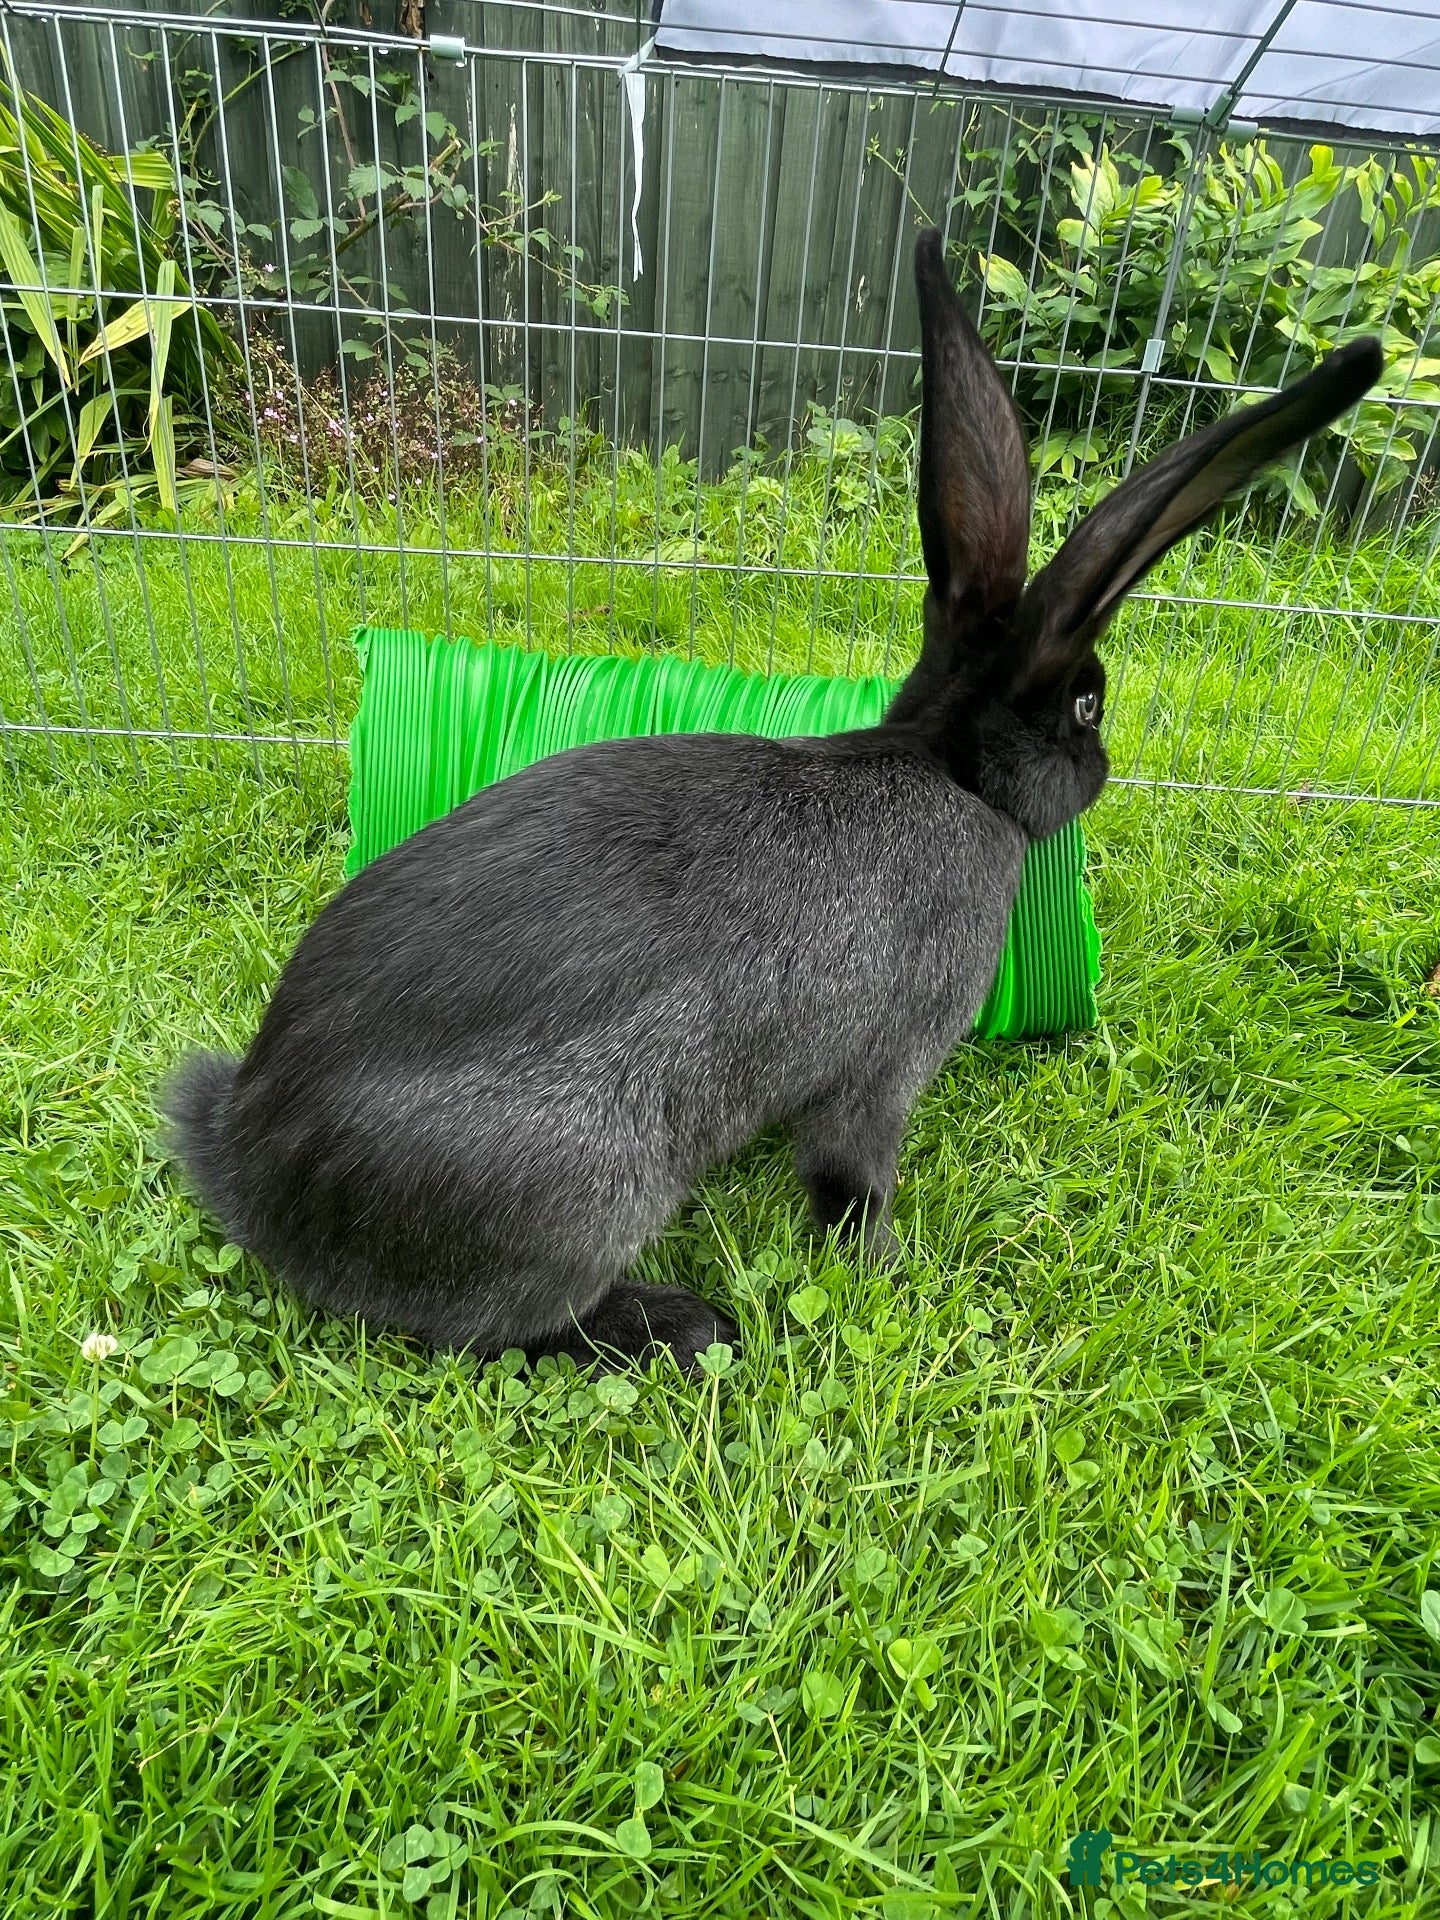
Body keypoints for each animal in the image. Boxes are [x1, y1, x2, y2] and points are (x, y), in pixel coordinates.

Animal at [161, 229, 1381, 1373]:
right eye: (1084, 705)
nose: (1107, 764)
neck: (945, 766)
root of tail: (249, 1161)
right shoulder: (886, 1065)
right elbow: (851, 1174)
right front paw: (886, 1266)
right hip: (591, 1184)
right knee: (512, 1327)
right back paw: (688, 1324)